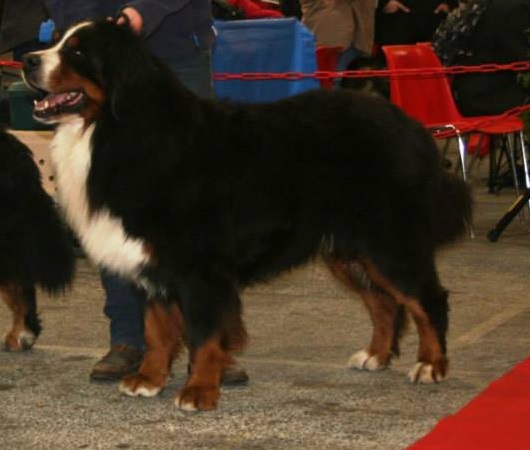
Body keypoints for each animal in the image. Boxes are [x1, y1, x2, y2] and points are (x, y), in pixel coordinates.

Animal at [22, 20, 472, 412]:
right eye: (56, 41)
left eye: (78, 52)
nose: (27, 59)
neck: (120, 131)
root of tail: (410, 125)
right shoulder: (151, 263)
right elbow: (157, 330)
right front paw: (148, 380)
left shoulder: (199, 267)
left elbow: (204, 334)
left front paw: (199, 392)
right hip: (348, 250)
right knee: (384, 303)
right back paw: (375, 356)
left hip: (389, 242)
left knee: (427, 299)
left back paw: (431, 365)